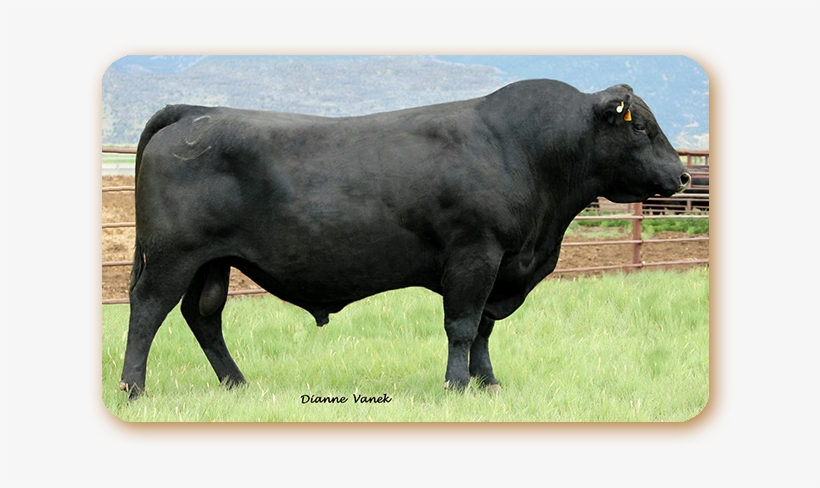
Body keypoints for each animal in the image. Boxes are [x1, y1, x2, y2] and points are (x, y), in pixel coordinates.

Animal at [119, 79, 690, 399]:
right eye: (640, 127)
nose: (683, 175)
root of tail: (195, 111)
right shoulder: (475, 255)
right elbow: (462, 326)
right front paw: (457, 387)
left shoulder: (501, 265)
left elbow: (483, 331)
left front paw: (488, 384)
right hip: (171, 256)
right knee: (147, 310)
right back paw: (134, 388)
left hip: (211, 261)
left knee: (203, 315)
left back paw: (237, 384)